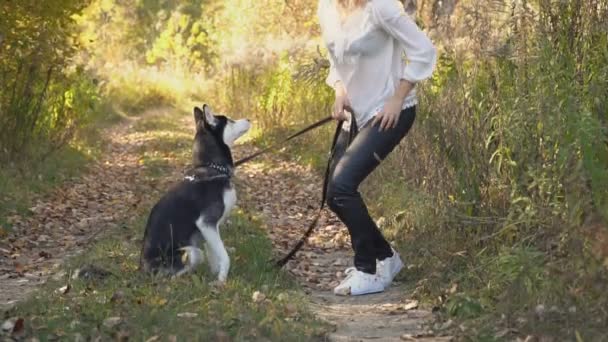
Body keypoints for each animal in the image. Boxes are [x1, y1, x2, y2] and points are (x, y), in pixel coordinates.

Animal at [140, 104, 249, 280]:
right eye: (230, 121)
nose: (249, 119)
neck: (213, 169)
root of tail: (141, 267)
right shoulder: (206, 223)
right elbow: (224, 256)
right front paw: (221, 281)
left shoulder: (209, 229)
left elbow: (215, 256)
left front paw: (215, 275)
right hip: (185, 254)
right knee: (191, 260)